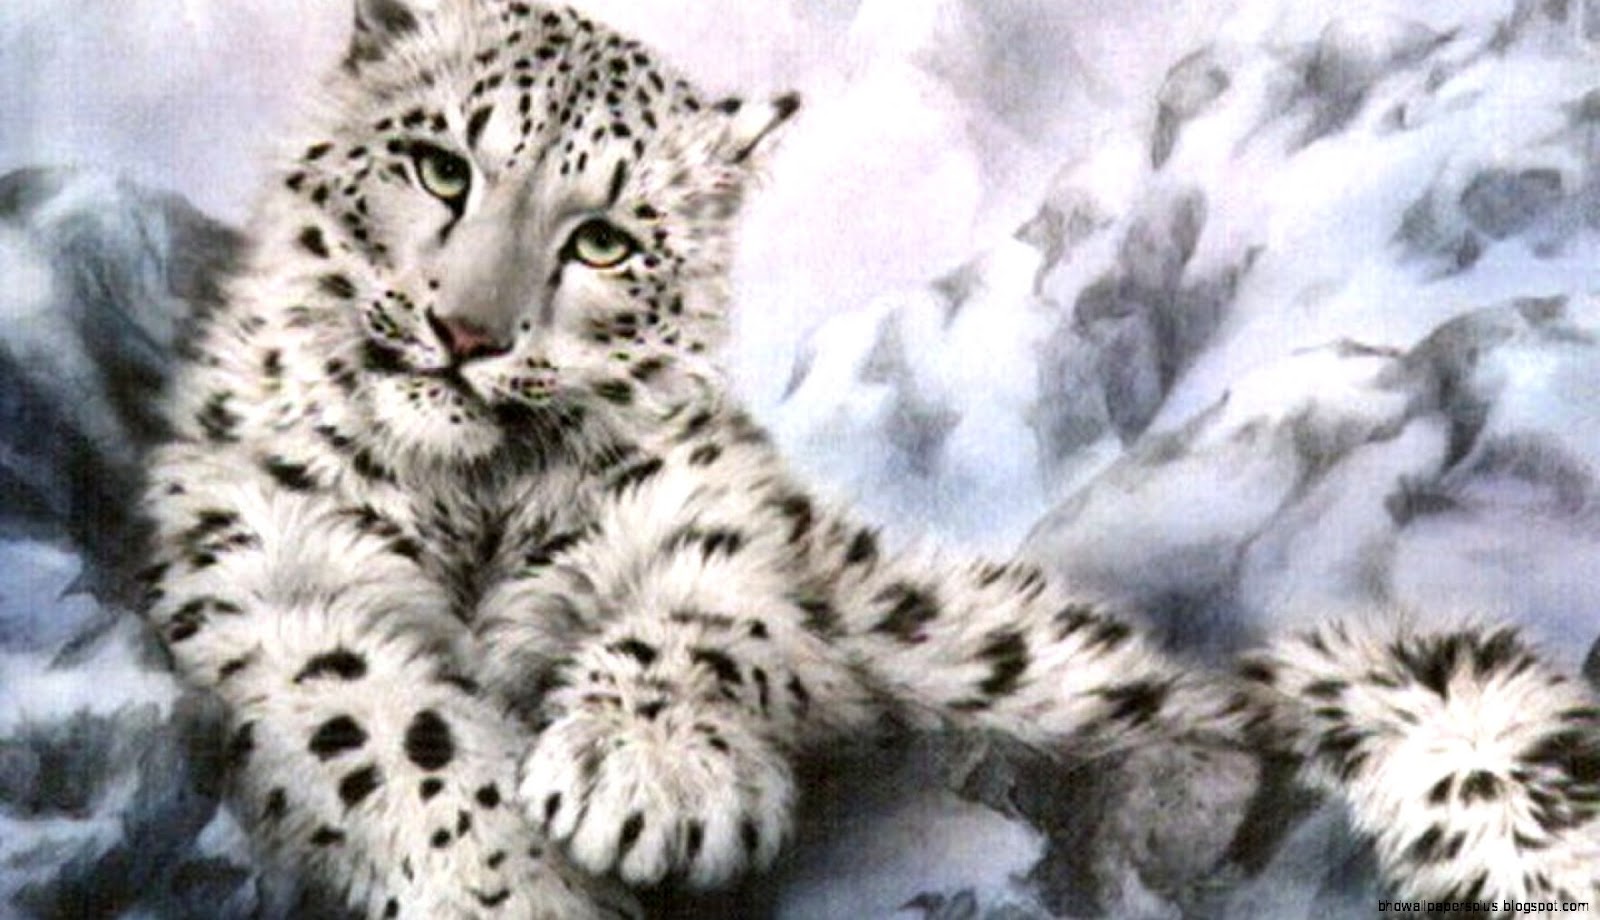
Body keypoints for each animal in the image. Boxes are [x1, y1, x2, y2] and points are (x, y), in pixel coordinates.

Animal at [138, 0, 1600, 916]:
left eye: (604, 238)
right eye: (441, 165)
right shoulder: (274, 583)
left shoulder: (720, 528)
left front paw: (648, 777)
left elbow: (695, 618)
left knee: (1201, 711)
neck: (478, 503)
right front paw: (524, 883)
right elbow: (392, 721)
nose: (466, 332)